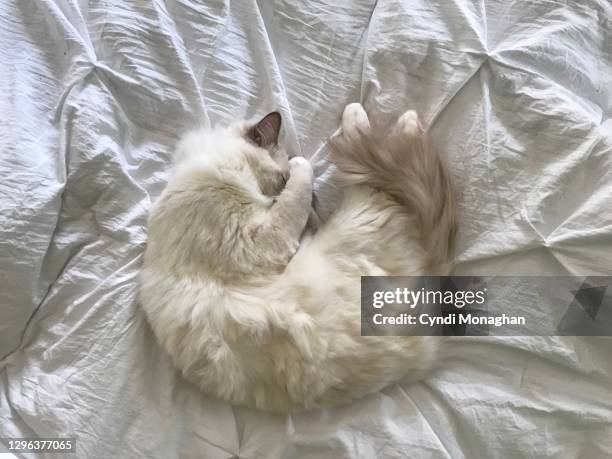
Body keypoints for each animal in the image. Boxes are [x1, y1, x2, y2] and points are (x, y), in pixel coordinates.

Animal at [137, 104, 454, 414]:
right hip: (366, 210)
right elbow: (299, 186)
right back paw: (387, 119)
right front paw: (300, 167)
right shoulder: (261, 239)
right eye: (282, 179)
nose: (315, 198)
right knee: (377, 162)